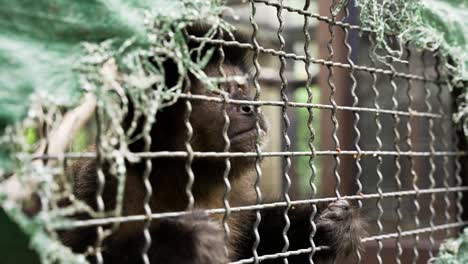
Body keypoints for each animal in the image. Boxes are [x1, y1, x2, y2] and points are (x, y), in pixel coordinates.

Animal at [59, 23, 366, 262]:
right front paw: (182, 244)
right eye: (219, 91)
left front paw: (331, 225)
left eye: (241, 89)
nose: (250, 106)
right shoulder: (101, 183)